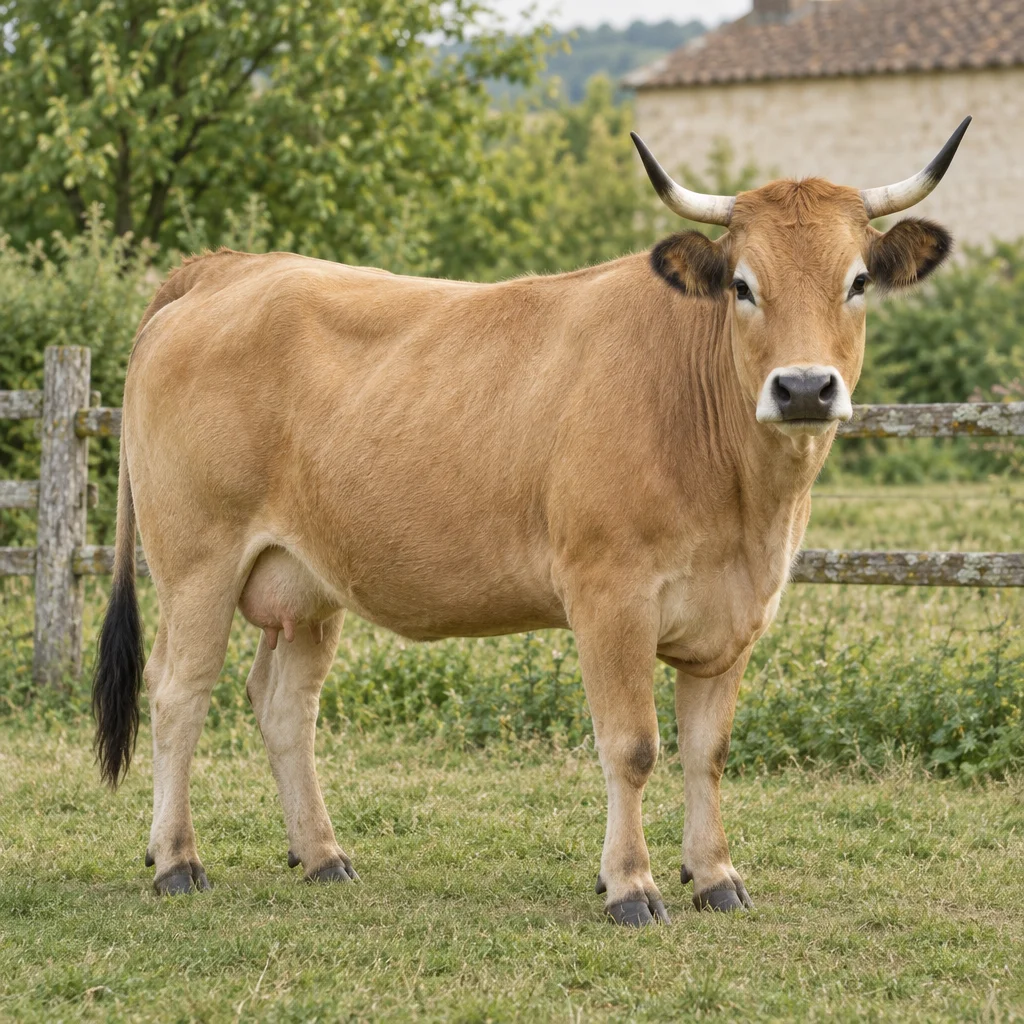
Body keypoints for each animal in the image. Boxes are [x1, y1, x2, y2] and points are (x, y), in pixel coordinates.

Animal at [92, 119, 970, 925]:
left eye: (858, 282)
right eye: (743, 286)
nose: (804, 388)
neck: (744, 503)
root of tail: (228, 268)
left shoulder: (736, 614)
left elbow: (708, 752)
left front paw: (716, 875)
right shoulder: (608, 596)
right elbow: (633, 746)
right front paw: (631, 885)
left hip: (305, 583)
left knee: (283, 704)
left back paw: (322, 854)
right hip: (198, 563)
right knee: (178, 692)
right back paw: (177, 861)